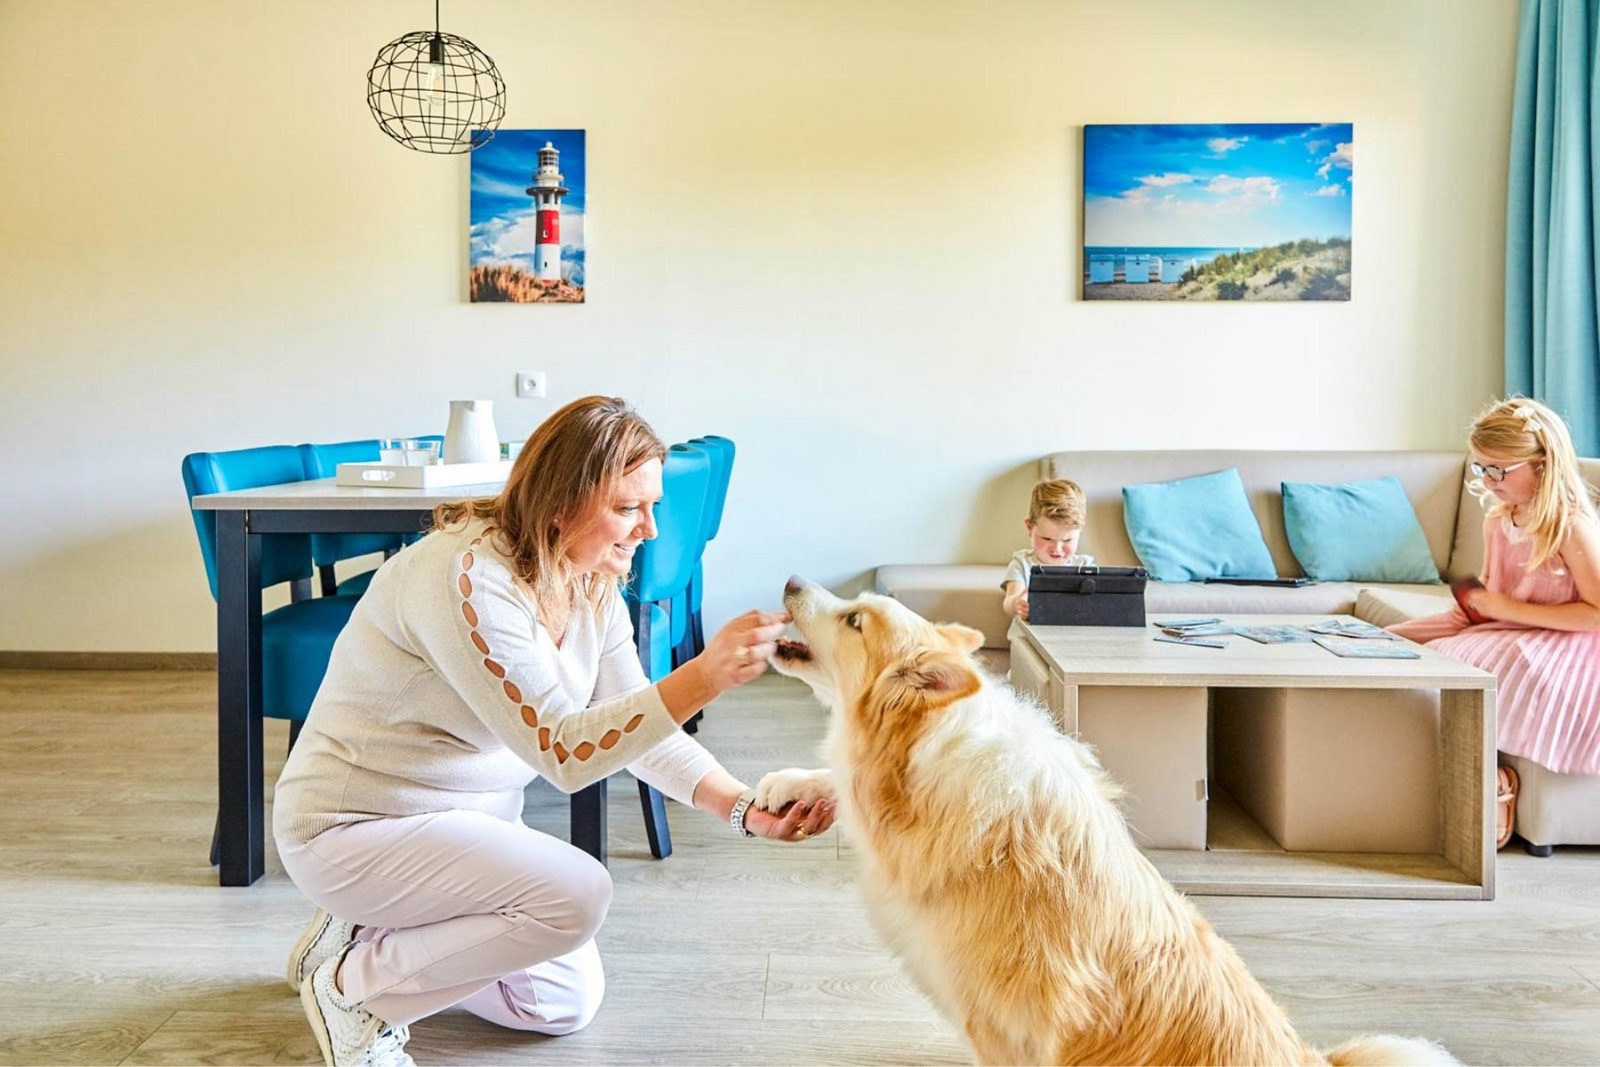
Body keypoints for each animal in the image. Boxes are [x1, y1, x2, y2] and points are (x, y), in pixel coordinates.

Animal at [755, 579, 1459, 1062]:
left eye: (853, 619)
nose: (789, 581)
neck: (923, 756)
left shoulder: (1005, 1025)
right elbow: (837, 778)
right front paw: (784, 785)